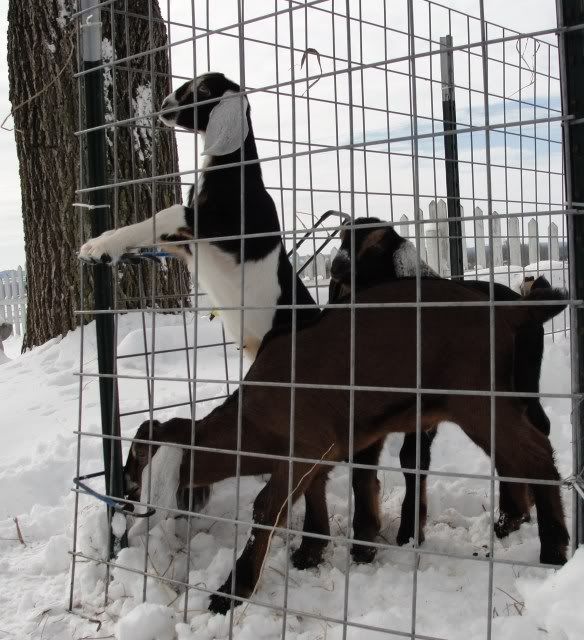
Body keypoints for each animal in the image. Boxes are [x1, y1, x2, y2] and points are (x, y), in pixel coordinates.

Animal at [124, 278, 569, 614]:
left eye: (136, 463)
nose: (127, 502)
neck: (251, 421)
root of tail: (511, 311)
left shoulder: (303, 446)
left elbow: (267, 507)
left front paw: (231, 592)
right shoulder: (326, 448)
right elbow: (315, 491)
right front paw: (311, 551)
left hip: (477, 398)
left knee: (534, 453)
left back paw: (554, 549)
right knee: (519, 454)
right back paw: (516, 523)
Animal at [329, 217, 554, 547]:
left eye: (377, 246)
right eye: (342, 239)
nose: (337, 267)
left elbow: (412, 457)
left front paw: (410, 533)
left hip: (523, 379)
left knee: (535, 428)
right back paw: (514, 515)